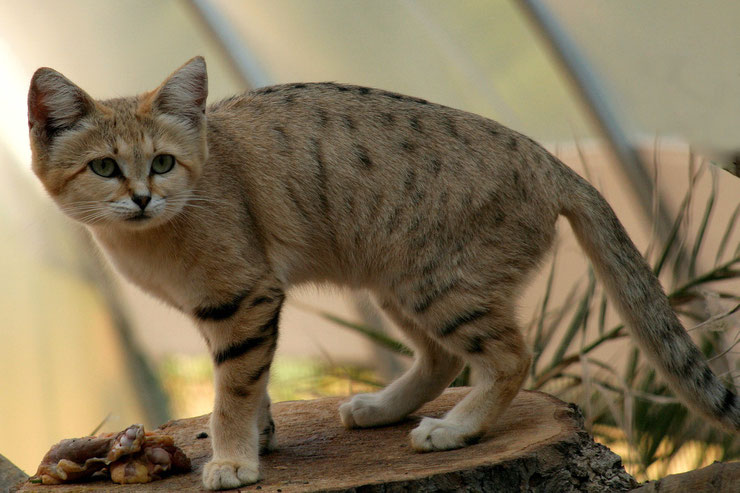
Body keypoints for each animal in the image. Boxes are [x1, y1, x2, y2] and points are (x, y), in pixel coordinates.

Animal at [26, 56, 736, 488]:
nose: (144, 197)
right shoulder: (220, 311)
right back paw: (383, 407)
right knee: (443, 359)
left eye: (164, 163)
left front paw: (232, 458)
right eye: (104, 167)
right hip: (397, 280)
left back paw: (456, 428)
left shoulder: (245, 298)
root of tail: (546, 157)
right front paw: (261, 436)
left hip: (436, 284)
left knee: (511, 356)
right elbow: (252, 383)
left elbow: (234, 388)